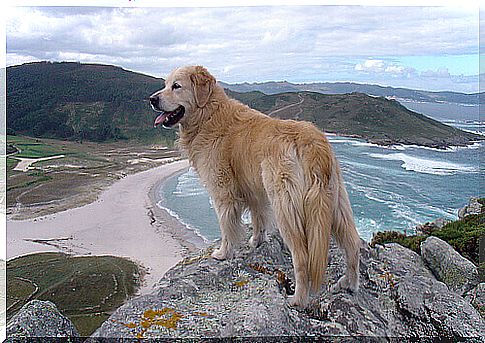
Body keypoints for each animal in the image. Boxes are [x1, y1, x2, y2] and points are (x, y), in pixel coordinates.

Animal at [150, 66, 360, 308]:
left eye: (176, 86)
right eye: (165, 85)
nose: (152, 99)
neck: (209, 113)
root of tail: (312, 141)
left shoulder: (223, 193)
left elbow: (227, 227)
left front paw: (223, 253)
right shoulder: (254, 191)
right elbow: (258, 218)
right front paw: (257, 242)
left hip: (286, 208)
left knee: (302, 257)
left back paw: (297, 299)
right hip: (335, 204)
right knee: (353, 245)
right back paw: (349, 284)